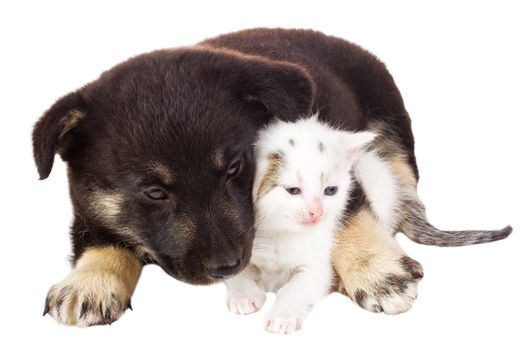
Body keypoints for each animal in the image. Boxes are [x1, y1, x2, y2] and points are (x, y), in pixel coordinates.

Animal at [225, 115, 376, 334]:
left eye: (331, 190)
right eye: (293, 190)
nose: (317, 212)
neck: (280, 231)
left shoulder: (317, 264)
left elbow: (299, 287)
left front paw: (282, 316)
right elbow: (235, 269)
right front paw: (244, 296)